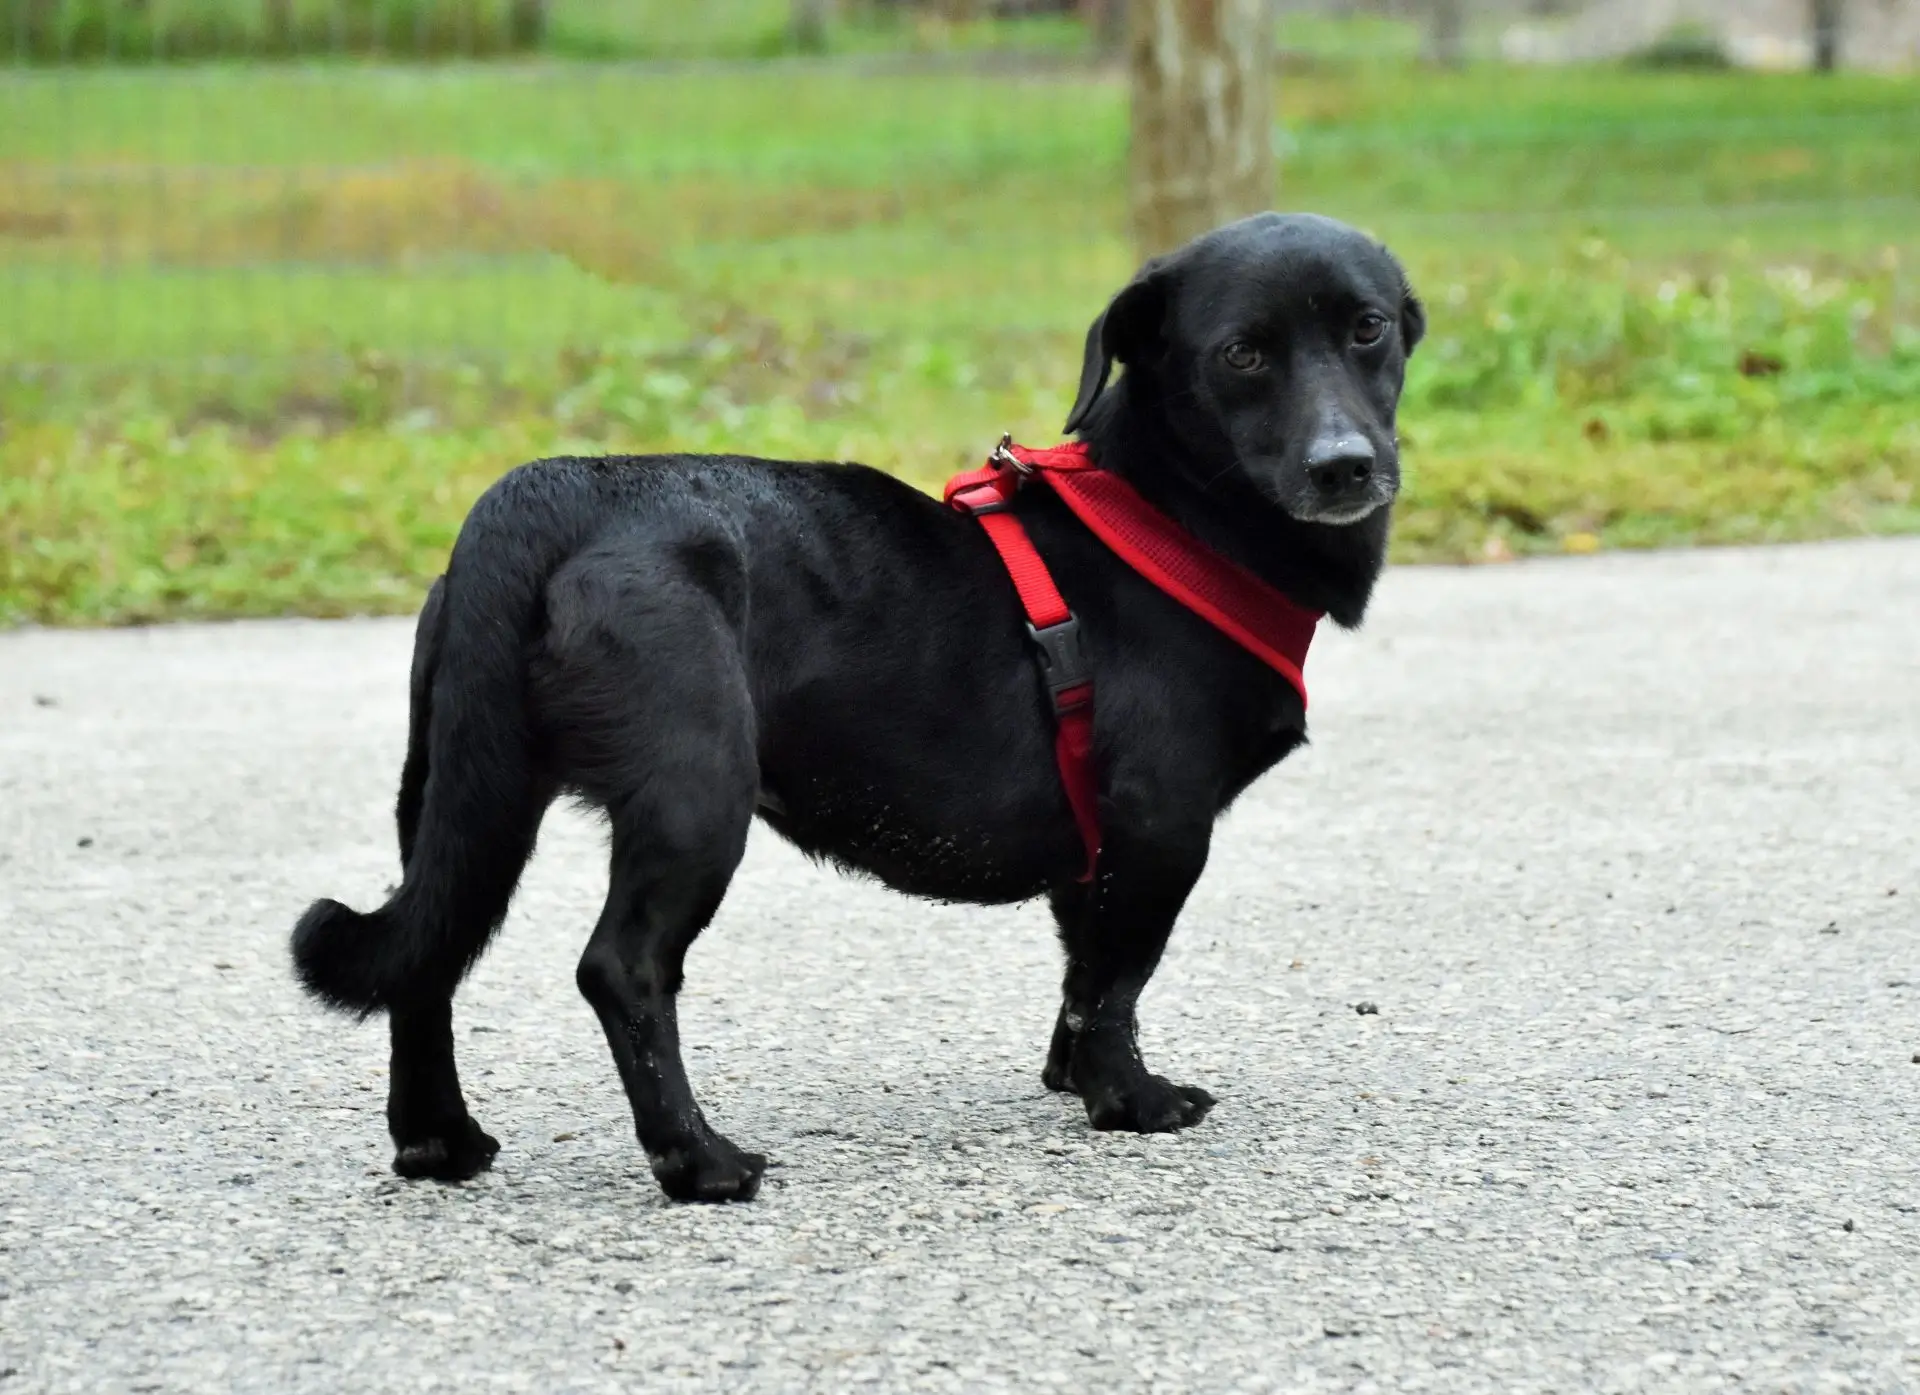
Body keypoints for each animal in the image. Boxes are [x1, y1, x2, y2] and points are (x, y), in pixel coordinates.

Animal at [288, 212, 1428, 1205]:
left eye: (1368, 327)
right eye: (1241, 354)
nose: (1344, 466)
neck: (1168, 514)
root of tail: (547, 495)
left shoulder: (1098, 850)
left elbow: (1083, 973)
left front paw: (1073, 1080)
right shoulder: (1160, 827)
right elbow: (1118, 982)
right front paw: (1131, 1101)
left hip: (460, 792)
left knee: (426, 955)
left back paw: (438, 1141)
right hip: (694, 794)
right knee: (622, 968)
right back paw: (698, 1160)